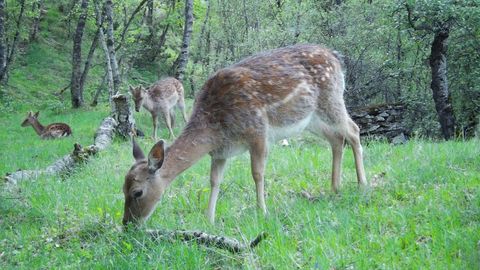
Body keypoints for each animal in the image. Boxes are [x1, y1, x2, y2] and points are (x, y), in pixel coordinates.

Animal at [121, 44, 368, 226]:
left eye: (137, 192)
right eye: (122, 189)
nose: (127, 224)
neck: (216, 128)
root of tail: (336, 58)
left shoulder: (258, 132)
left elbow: (257, 173)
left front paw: (262, 211)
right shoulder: (220, 152)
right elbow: (214, 180)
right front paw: (209, 219)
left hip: (331, 99)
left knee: (353, 130)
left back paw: (362, 184)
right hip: (311, 119)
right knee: (336, 139)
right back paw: (335, 187)